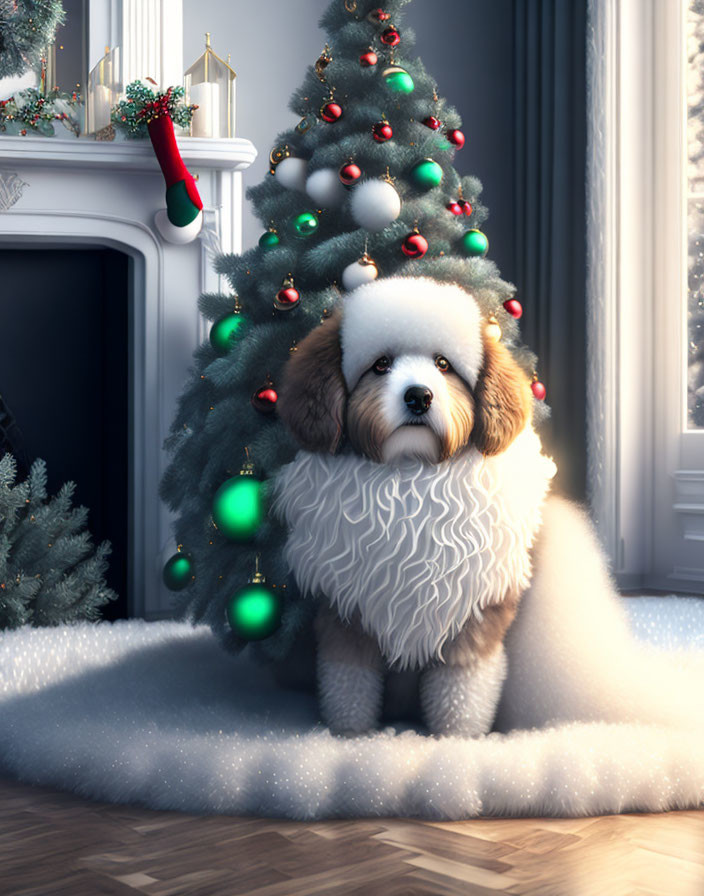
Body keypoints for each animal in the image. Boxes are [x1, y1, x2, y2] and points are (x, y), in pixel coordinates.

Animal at [272, 278, 560, 736]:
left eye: (443, 364)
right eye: (380, 365)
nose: (419, 397)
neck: (410, 475)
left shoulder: (474, 613)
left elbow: (463, 686)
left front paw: (459, 738)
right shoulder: (346, 610)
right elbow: (349, 681)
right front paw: (350, 734)